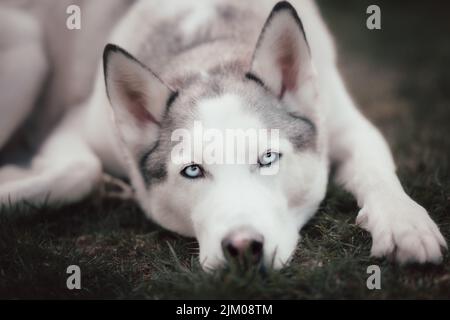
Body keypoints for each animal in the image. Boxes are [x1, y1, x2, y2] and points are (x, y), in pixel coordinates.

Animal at [0, 0, 444, 272]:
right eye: (193, 171)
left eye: (268, 158)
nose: (243, 247)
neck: (208, 48)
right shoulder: (74, 124)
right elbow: (79, 170)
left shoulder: (344, 121)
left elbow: (376, 169)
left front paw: (404, 222)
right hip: (29, 51)